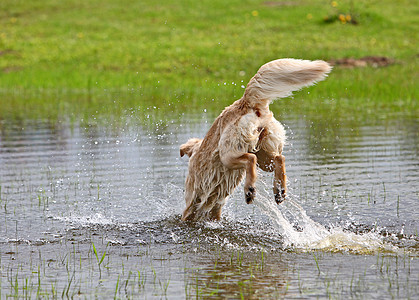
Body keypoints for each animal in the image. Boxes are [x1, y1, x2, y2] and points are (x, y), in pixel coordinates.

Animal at [180, 59, 332, 223]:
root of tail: (246, 101)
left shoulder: (192, 204)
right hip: (264, 155)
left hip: (228, 154)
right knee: (279, 158)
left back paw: (250, 190)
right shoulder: (216, 205)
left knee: (250, 159)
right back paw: (279, 190)